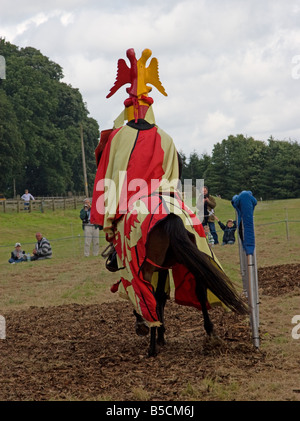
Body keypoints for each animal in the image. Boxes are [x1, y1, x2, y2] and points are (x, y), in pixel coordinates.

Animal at [134, 212, 248, 356]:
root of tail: (172, 218)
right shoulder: (162, 268)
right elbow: (160, 296)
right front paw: (161, 334)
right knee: (200, 292)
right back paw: (211, 333)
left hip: (148, 268)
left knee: (149, 297)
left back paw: (152, 347)